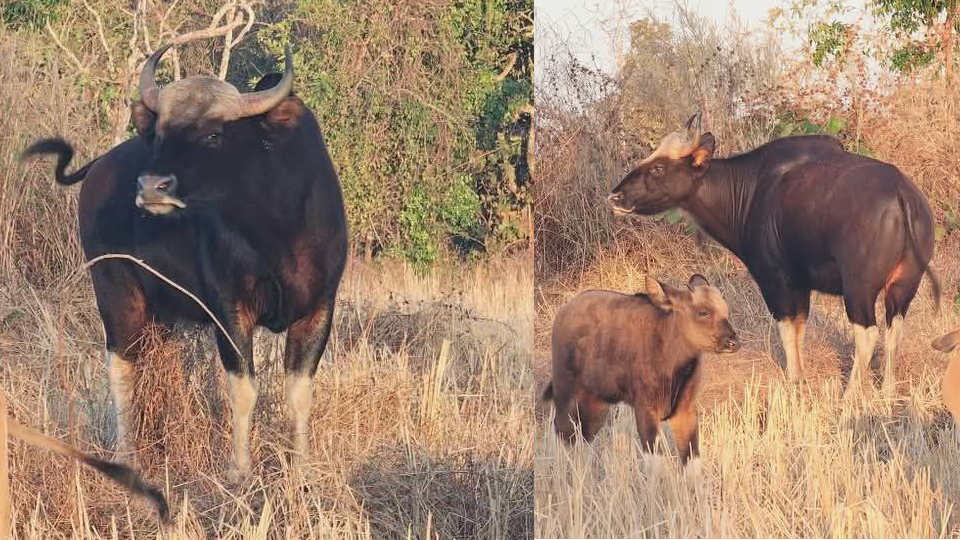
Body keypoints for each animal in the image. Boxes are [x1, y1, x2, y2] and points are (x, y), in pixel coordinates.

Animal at [22, 44, 346, 478]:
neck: (277, 229)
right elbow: (243, 389)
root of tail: (98, 168)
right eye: (160, 134)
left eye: (213, 135)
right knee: (121, 367)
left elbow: (298, 392)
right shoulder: (228, 309)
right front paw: (240, 471)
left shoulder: (320, 307)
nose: (151, 187)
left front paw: (301, 469)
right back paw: (128, 456)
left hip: (161, 313)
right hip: (114, 291)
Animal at [540, 276, 744, 462]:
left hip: (596, 405)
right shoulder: (645, 409)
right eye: (703, 312)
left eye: (726, 310)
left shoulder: (685, 412)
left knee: (581, 438)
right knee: (561, 432)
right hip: (565, 394)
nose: (734, 342)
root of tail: (564, 310)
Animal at [608, 116, 936, 396]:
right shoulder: (801, 285)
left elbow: (786, 330)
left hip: (859, 289)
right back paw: (888, 393)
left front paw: (794, 380)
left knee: (868, 334)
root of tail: (903, 194)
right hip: (904, 286)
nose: (615, 196)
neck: (750, 191)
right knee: (894, 330)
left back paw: (850, 397)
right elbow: (799, 328)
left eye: (659, 168)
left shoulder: (775, 281)